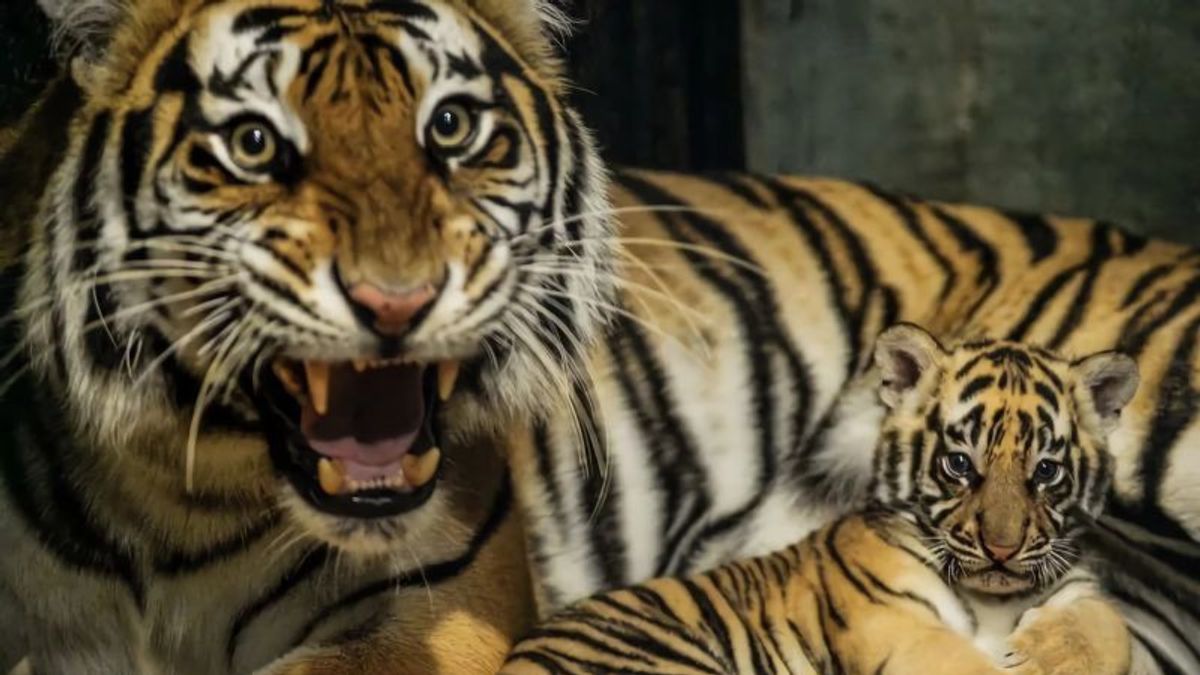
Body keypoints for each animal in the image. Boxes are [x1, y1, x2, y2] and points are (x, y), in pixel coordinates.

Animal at [501, 326, 1139, 675]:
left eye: (1046, 471)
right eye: (959, 464)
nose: (1002, 550)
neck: (994, 598)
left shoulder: (1078, 585)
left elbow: (1110, 626)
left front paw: (1040, 654)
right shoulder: (897, 628)